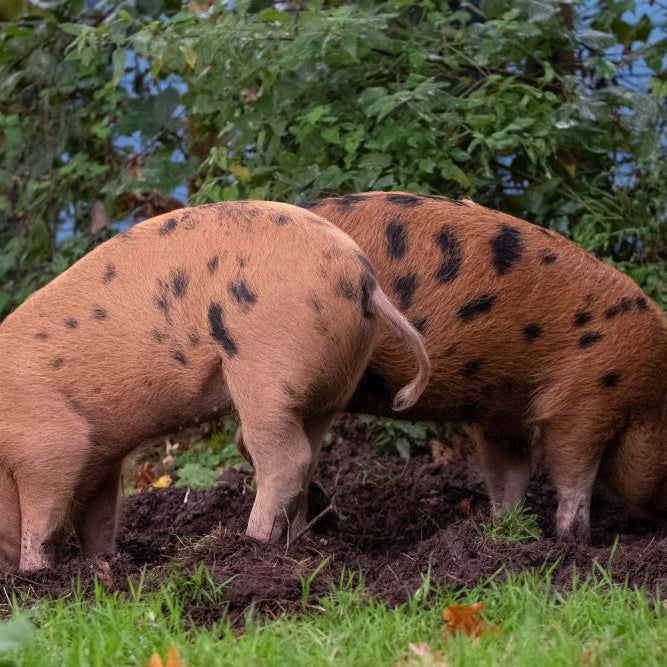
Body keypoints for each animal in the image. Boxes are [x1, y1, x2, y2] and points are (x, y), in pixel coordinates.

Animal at [0, 201, 428, 572]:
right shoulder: (102, 459)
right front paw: (101, 564)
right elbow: (98, 519)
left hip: (266, 375)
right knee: (309, 456)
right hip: (331, 387)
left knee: (285, 460)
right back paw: (298, 541)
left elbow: (43, 520)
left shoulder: (52, 443)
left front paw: (35, 576)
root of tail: (363, 278)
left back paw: (252, 542)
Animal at [300, 192, 667, 544]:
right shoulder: (585, 397)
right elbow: (573, 474)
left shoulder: (502, 411)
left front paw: (506, 531)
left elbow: (510, 475)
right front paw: (576, 543)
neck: (648, 399)